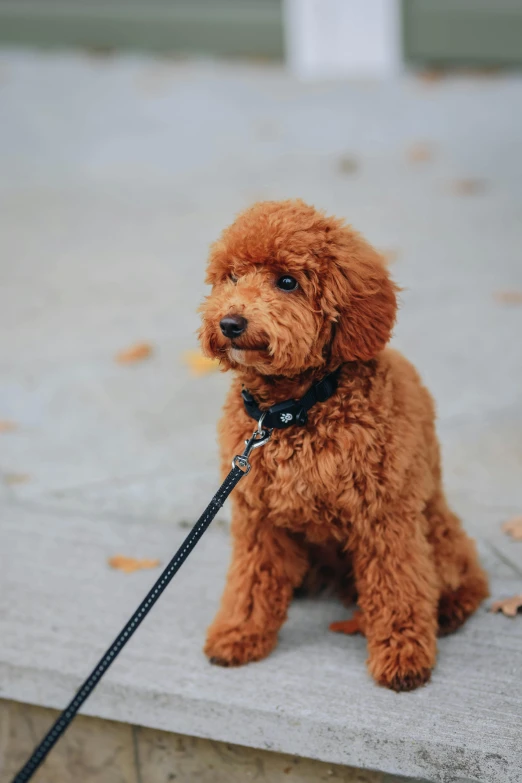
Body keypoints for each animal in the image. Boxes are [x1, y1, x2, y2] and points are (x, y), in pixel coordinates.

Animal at [198, 201, 488, 692]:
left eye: (287, 282)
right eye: (232, 277)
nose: (230, 323)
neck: (292, 410)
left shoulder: (385, 517)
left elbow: (397, 587)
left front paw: (403, 655)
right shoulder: (258, 518)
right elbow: (251, 581)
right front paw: (240, 633)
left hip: (436, 527)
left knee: (466, 577)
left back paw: (448, 609)